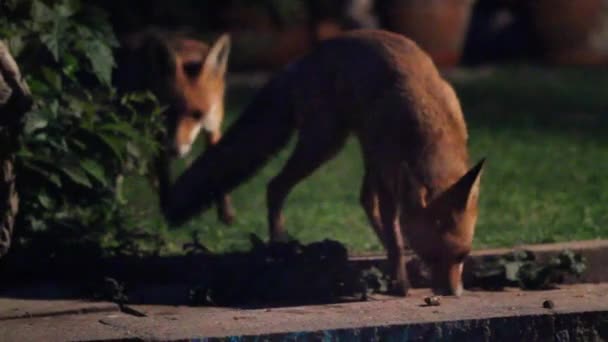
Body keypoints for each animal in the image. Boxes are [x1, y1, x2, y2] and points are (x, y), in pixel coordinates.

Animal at [114, 29, 235, 224]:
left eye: (198, 114)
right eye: (167, 112)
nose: (175, 150)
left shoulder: (213, 126)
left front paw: (225, 210)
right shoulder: (159, 132)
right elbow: (164, 173)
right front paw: (166, 208)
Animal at [160, 30, 484, 296]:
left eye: (463, 255)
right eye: (431, 256)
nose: (452, 293)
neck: (428, 132)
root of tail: (302, 58)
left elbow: (392, 233)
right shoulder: (389, 181)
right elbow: (394, 241)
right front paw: (400, 282)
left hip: (354, 148)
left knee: (363, 199)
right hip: (325, 143)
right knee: (275, 186)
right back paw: (278, 246)